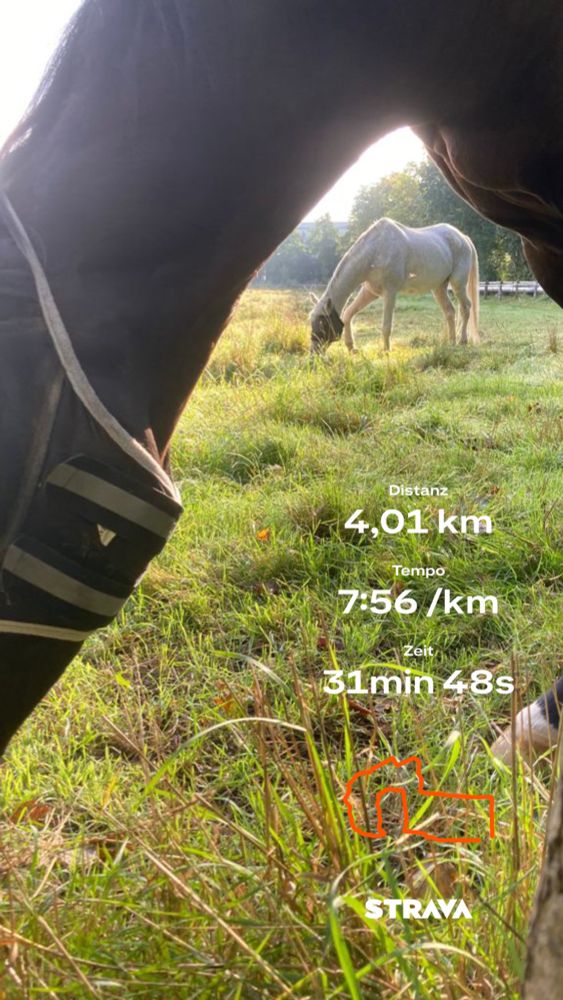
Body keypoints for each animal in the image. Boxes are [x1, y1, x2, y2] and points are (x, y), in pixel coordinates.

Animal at [310, 218, 480, 352]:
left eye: (323, 323)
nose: (313, 355)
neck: (376, 249)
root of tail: (463, 237)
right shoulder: (370, 292)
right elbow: (348, 314)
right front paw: (351, 347)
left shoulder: (390, 292)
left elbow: (386, 326)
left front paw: (386, 351)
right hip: (439, 288)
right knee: (450, 312)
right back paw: (451, 342)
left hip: (458, 284)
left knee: (466, 308)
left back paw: (462, 341)